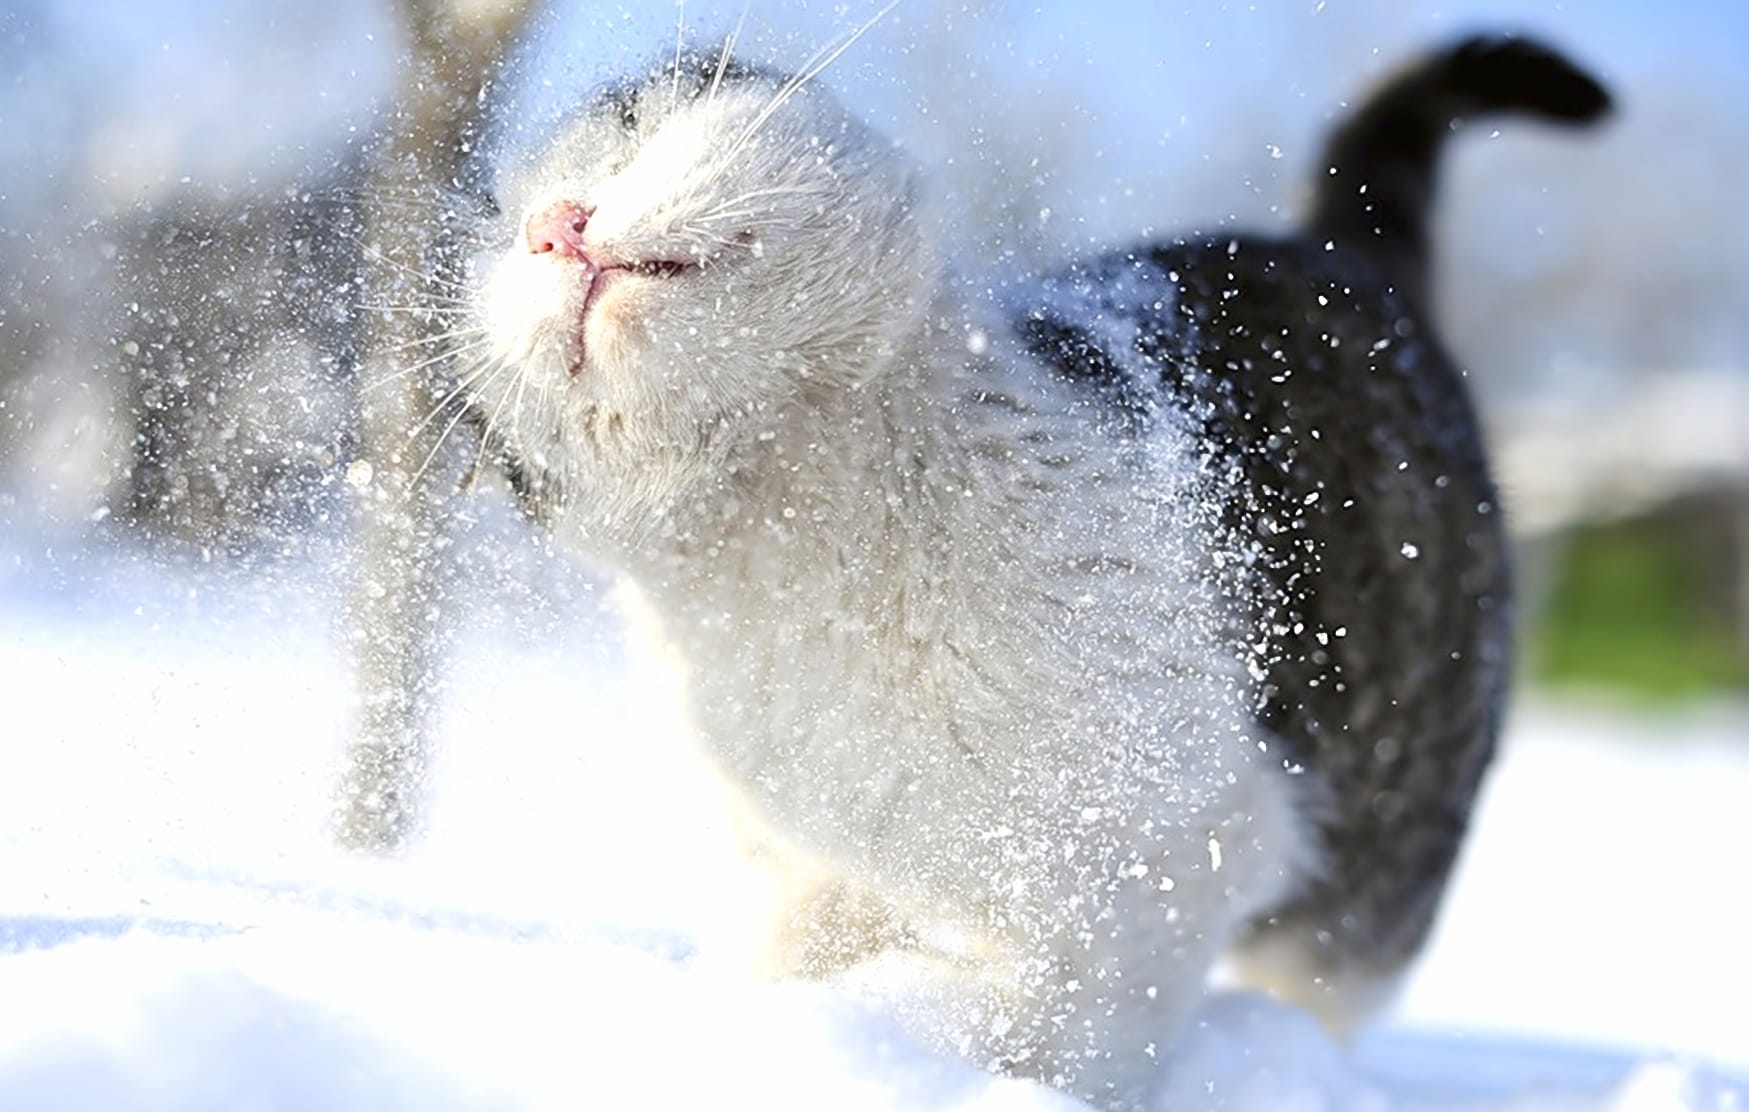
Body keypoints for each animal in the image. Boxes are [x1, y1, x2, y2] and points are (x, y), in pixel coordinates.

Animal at [430, 30, 1602, 1105]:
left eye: (626, 132)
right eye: (496, 240)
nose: (553, 226)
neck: (814, 540)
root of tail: (1333, 248)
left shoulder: (1176, 862)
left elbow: (1044, 1026)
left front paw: (909, 1042)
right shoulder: (804, 872)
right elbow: (794, 966)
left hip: (1374, 863)